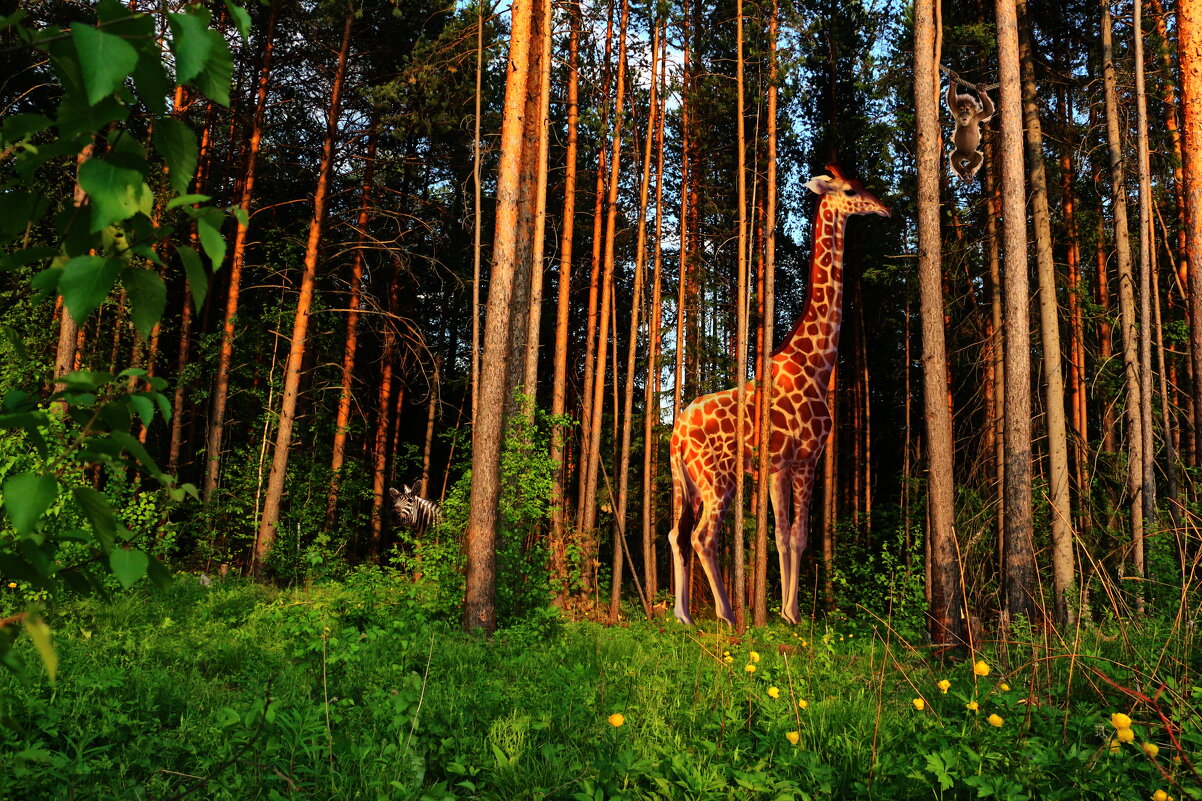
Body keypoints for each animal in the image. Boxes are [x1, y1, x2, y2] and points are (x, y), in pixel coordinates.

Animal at [668, 163, 894, 625]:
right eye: (850, 191)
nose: (886, 209)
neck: (816, 364)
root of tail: (676, 436)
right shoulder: (808, 456)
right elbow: (801, 534)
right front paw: (792, 614)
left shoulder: (777, 467)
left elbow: (781, 535)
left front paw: (783, 613)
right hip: (719, 479)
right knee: (702, 537)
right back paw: (727, 615)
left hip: (686, 483)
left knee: (675, 534)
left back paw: (682, 615)